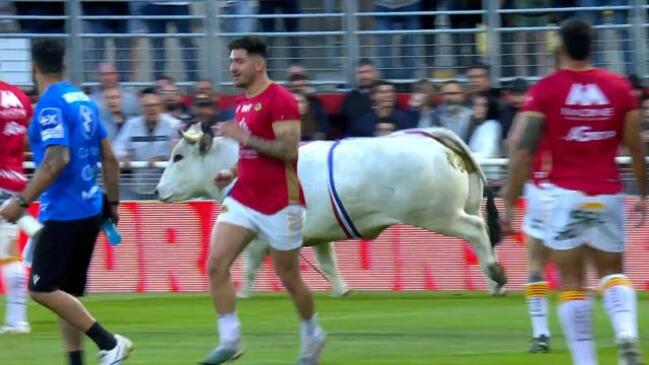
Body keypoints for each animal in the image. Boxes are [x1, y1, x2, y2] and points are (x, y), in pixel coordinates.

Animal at [156, 125, 506, 296]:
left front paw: (242, 295)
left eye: (178, 157)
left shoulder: (258, 237)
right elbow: (329, 264)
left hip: (440, 215)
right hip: (458, 208)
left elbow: (249, 267)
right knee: (482, 236)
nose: (157, 191)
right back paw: (493, 284)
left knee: (477, 230)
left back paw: (495, 275)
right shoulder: (318, 235)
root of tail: (434, 138)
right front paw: (342, 291)